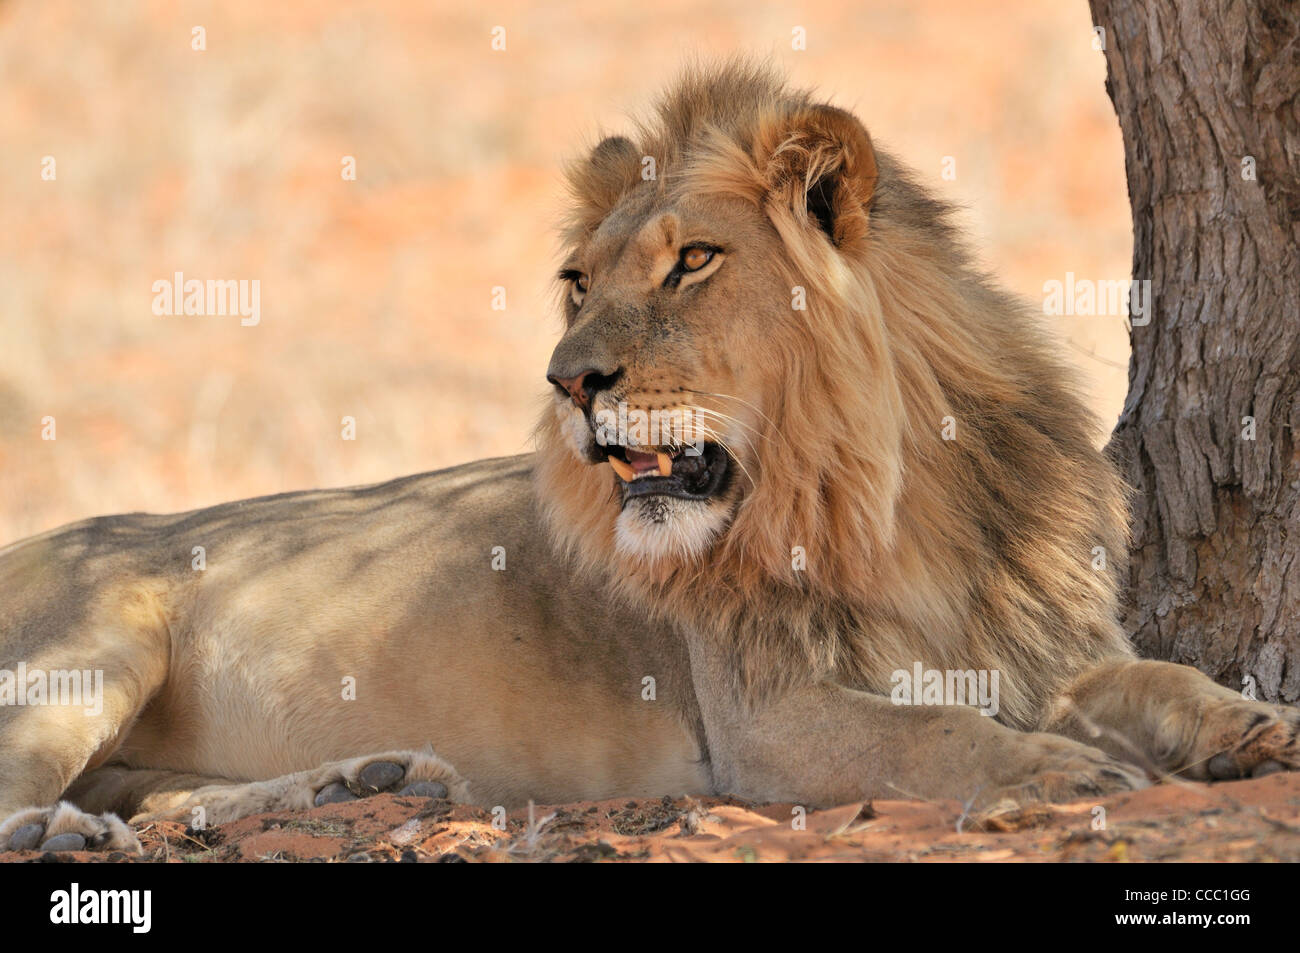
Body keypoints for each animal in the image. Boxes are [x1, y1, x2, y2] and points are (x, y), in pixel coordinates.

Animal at [2, 61, 1300, 852]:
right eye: (580, 281)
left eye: (693, 262)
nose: (568, 379)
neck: (893, 503)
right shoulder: (766, 720)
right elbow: (937, 735)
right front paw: (1057, 775)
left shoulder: (1044, 643)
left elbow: (1160, 677)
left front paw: (1254, 727)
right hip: (95, 640)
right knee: (35, 785)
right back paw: (61, 829)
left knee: (148, 793)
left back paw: (363, 782)